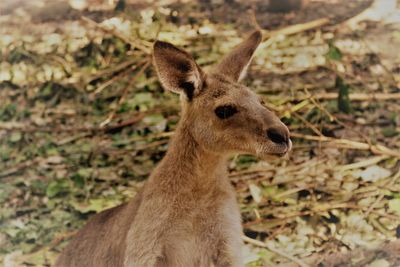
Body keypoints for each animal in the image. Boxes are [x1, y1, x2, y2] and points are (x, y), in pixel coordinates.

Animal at [55, 30, 290, 267]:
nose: (283, 135)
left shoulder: (227, 241)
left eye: (260, 101)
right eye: (224, 110)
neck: (200, 191)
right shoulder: (145, 243)